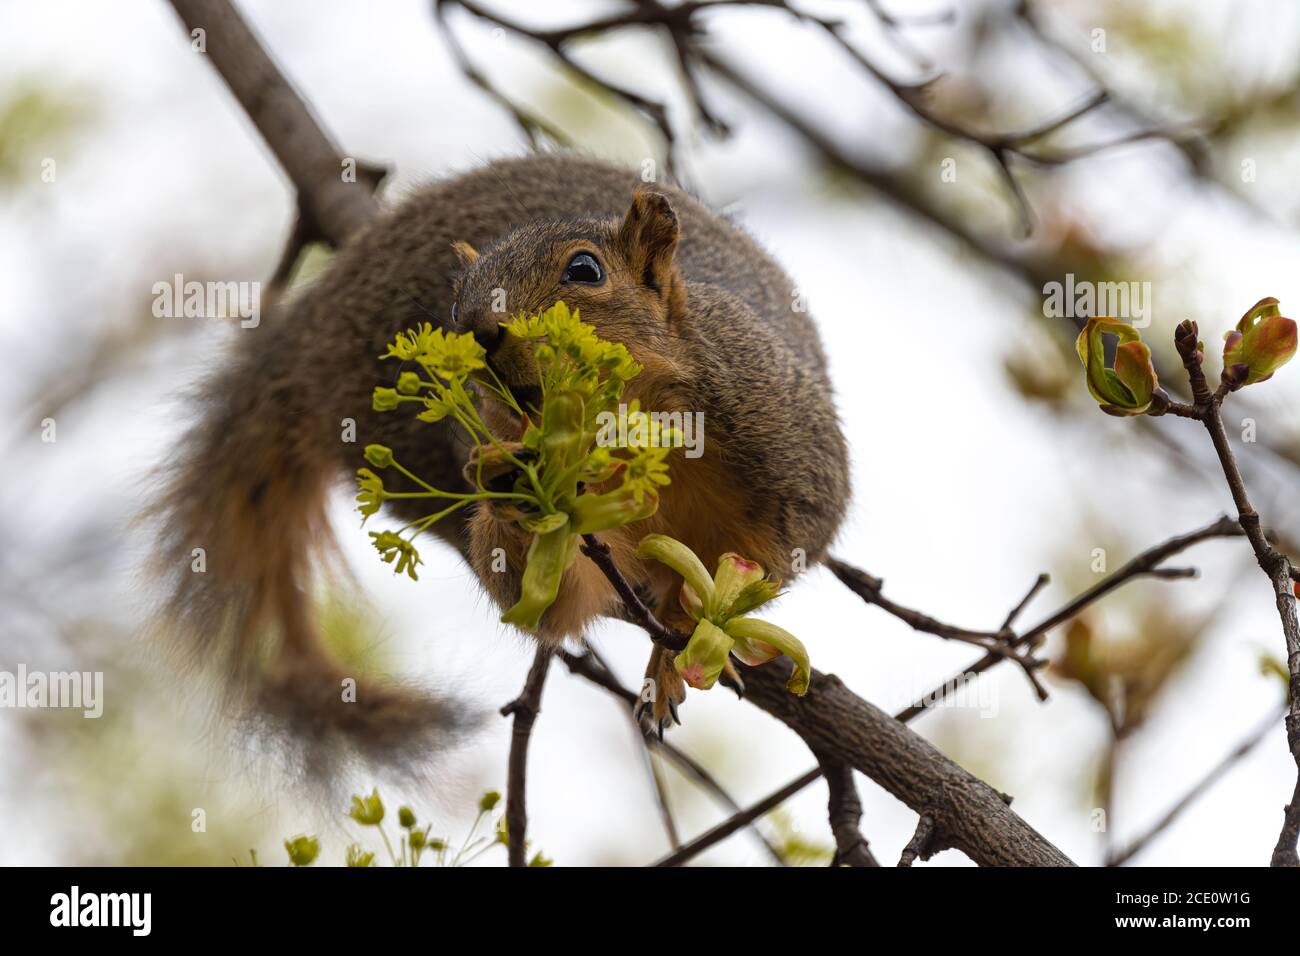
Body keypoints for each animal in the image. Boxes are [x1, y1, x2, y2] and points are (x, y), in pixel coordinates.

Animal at [157, 154, 849, 758]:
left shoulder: (787, 445)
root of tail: (312, 323)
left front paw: (672, 650)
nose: (479, 330)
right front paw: (512, 493)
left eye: (585, 270)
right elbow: (555, 600)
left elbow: (776, 551)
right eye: (455, 299)